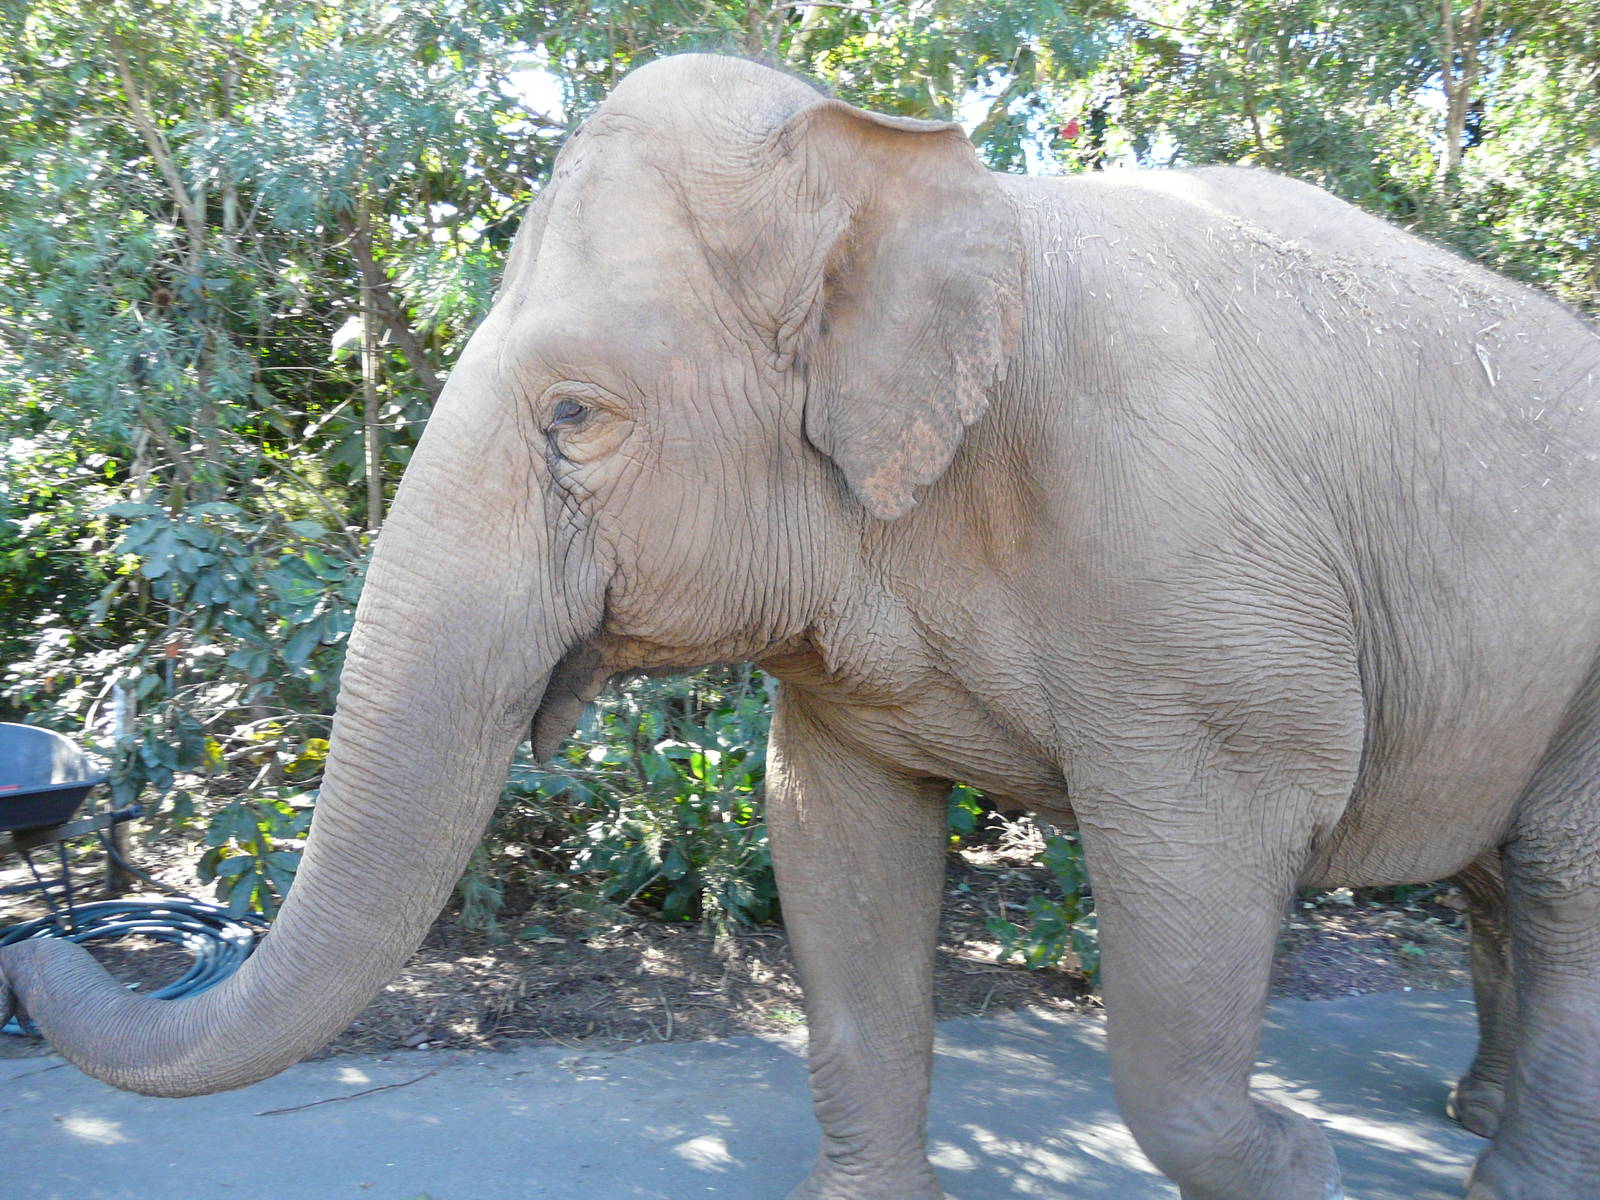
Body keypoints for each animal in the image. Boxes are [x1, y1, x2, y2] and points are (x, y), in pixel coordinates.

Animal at [4, 52, 1599, 1200]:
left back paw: (1504, 1175)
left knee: (1561, 877)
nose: (37, 947)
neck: (918, 174)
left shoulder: (1201, 601)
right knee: (1506, 875)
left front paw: (1308, 1165)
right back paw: (1472, 1110)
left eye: (574, 417)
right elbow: (833, 841)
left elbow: (1189, 955)